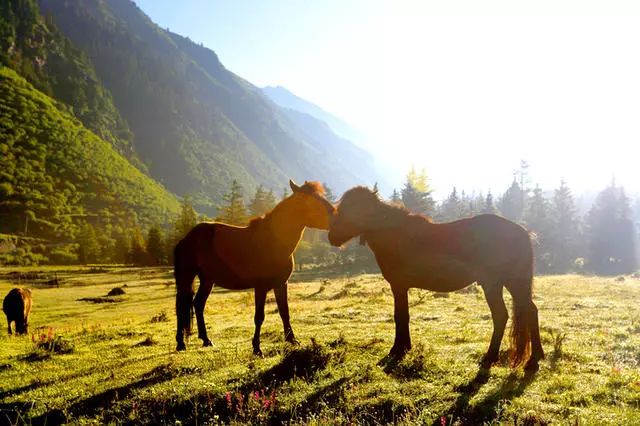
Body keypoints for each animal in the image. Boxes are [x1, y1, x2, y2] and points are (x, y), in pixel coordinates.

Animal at [174, 180, 336, 352]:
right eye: (311, 201)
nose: (336, 216)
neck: (273, 241)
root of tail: (186, 238)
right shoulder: (261, 287)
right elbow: (259, 317)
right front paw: (257, 348)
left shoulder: (281, 284)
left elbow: (284, 312)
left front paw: (292, 340)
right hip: (186, 276)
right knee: (181, 306)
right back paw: (181, 343)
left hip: (207, 279)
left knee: (198, 304)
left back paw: (206, 339)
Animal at [330, 186, 544, 370]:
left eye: (353, 210)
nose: (332, 237)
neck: (395, 234)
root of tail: (521, 232)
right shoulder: (401, 287)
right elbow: (404, 315)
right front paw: (405, 347)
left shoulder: (398, 286)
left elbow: (400, 316)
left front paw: (397, 350)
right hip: (509, 283)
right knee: (530, 311)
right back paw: (535, 357)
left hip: (498, 284)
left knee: (502, 315)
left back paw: (494, 357)